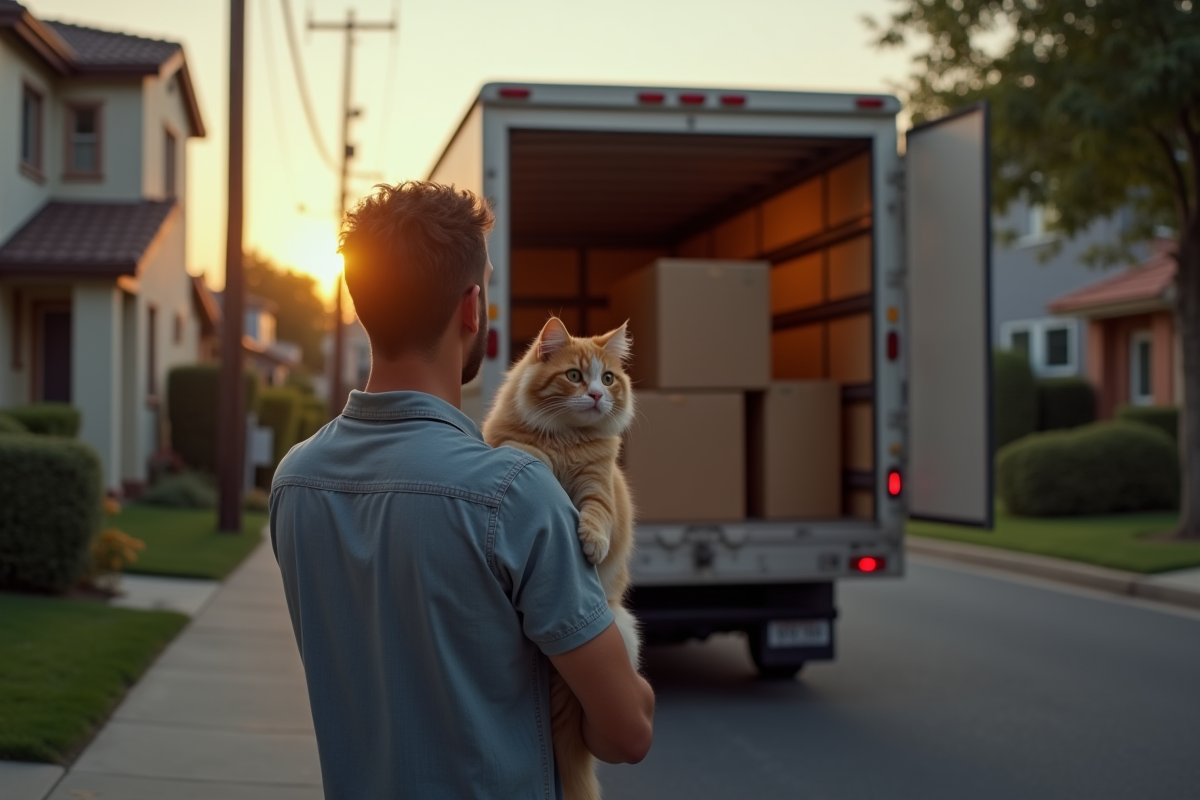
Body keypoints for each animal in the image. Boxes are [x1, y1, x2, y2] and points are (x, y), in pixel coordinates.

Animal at [482, 316, 643, 800]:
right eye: (574, 376)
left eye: (607, 379)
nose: (595, 396)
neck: (567, 442)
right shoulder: (518, 445)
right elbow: (523, 452)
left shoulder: (598, 487)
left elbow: (596, 516)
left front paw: (592, 543)